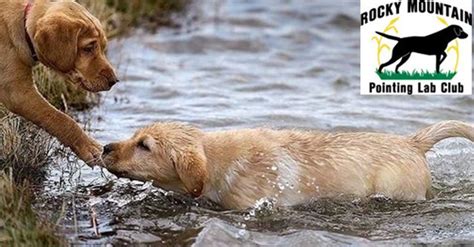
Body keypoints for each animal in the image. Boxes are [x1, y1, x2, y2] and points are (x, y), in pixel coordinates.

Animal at [0, 0, 117, 166]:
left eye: (103, 47)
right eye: (88, 48)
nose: (114, 81)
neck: (22, 20)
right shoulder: (17, 92)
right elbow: (61, 119)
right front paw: (90, 147)